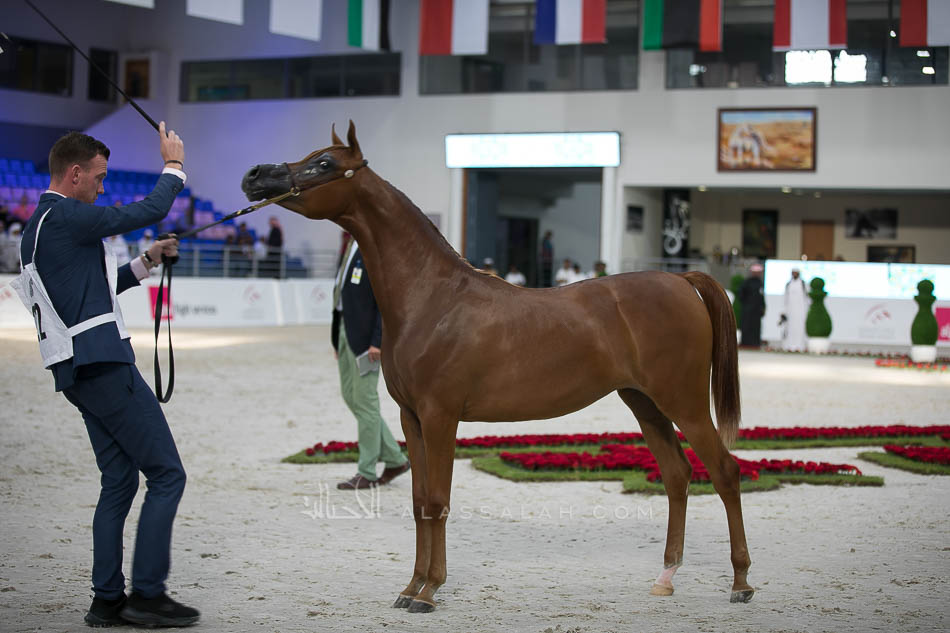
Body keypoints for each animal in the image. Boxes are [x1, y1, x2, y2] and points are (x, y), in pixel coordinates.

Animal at [241, 121, 754, 612]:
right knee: (677, 476)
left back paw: (741, 582)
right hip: (645, 404)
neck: (433, 298)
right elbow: (419, 502)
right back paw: (666, 578)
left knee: (725, 472)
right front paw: (410, 587)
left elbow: (438, 500)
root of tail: (681, 281)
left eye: (324, 163)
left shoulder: (441, 416)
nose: (255, 175)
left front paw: (430, 592)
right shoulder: (412, 418)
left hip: (685, 403)